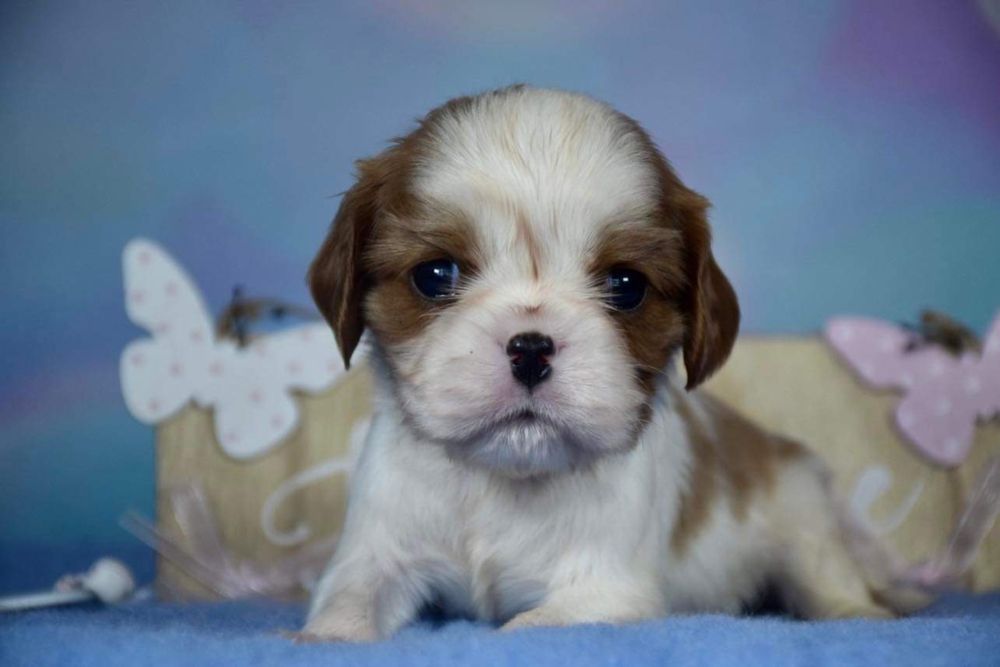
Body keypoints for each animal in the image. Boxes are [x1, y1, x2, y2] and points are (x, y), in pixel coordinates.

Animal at [302, 85, 920, 640]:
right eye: (435, 275)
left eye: (626, 286)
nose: (531, 347)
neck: (506, 481)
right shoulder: (373, 557)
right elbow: (345, 608)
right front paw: (325, 639)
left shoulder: (603, 593)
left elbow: (521, 630)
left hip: (803, 511)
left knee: (828, 578)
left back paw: (858, 614)